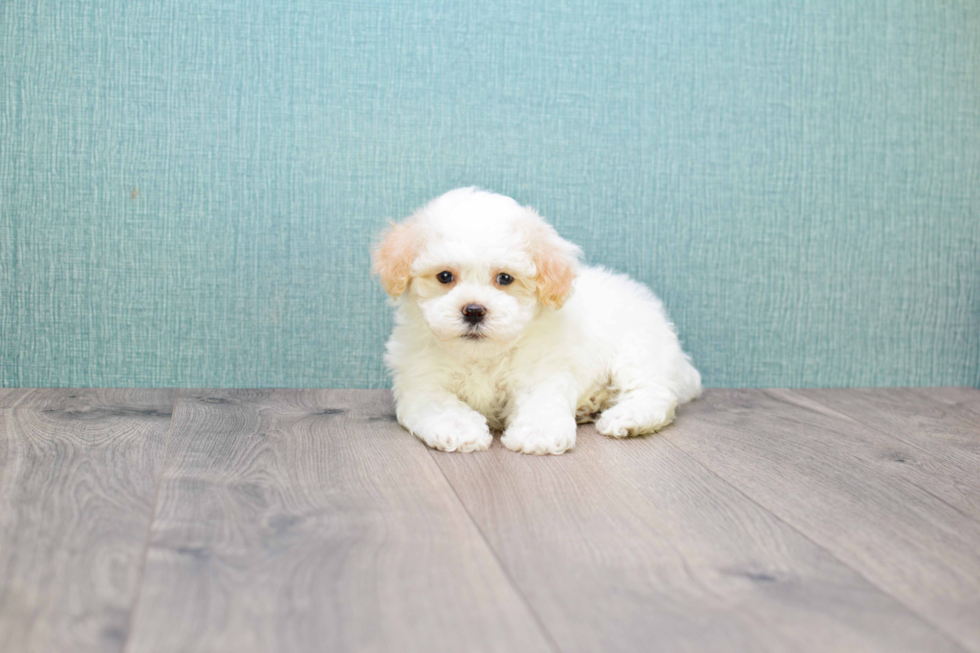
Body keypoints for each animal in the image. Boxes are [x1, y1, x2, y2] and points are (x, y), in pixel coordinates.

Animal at [372, 187, 700, 454]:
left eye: (505, 278)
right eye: (444, 276)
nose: (474, 310)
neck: (482, 355)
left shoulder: (542, 370)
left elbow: (541, 401)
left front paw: (538, 434)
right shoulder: (421, 380)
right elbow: (441, 406)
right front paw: (459, 428)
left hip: (639, 350)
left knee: (653, 393)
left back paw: (627, 417)